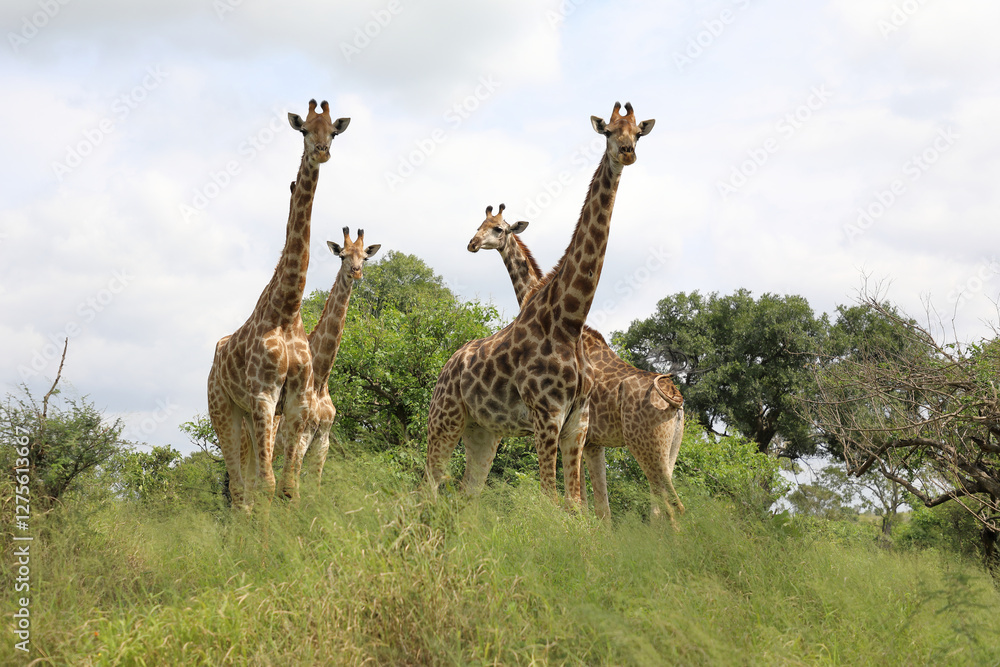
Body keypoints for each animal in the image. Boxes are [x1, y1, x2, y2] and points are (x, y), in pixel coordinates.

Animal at [207, 99, 350, 511]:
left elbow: (290, 487)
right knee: (241, 488)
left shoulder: (299, 403)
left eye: (333, 131)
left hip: (250, 416)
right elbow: (269, 486)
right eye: (304, 130)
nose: (321, 151)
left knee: (249, 484)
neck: (286, 310)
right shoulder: (264, 395)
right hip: (223, 408)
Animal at [283, 226, 380, 491]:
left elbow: (314, 485)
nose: (356, 272)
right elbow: (294, 483)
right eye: (342, 256)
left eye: (365, 258)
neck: (321, 378)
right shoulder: (303, 433)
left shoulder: (323, 437)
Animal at [426, 102, 654, 507]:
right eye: (608, 131)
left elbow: (576, 505)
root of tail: (447, 365)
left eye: (638, 133)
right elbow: (552, 500)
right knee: (429, 483)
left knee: (465, 493)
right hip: (445, 417)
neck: (569, 320)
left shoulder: (576, 424)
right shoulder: (547, 415)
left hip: (483, 430)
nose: (626, 153)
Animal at [468, 205, 685, 521]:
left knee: (669, 507)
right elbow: (599, 509)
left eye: (498, 229)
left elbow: (581, 503)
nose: (472, 243)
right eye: (479, 226)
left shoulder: (573, 431)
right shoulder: (591, 441)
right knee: (667, 505)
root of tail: (677, 401)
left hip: (646, 445)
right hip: (671, 449)